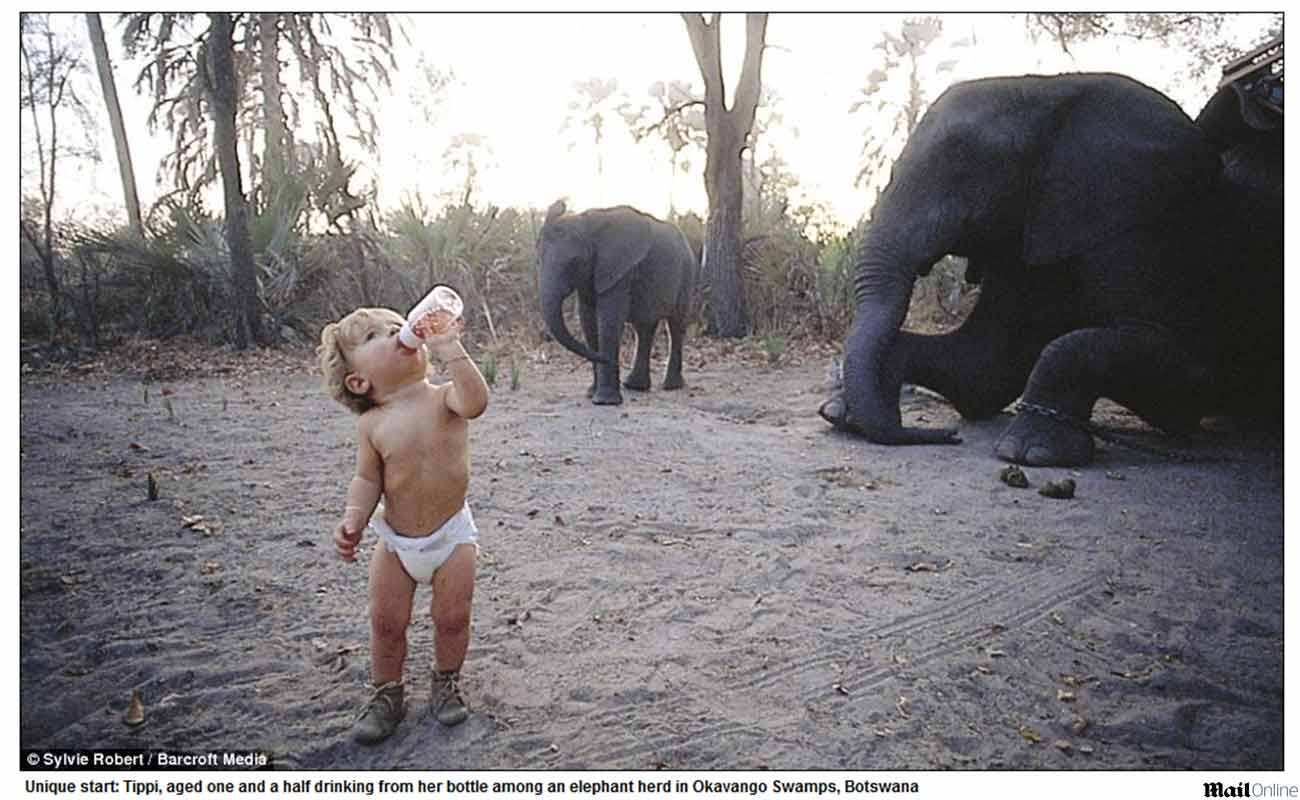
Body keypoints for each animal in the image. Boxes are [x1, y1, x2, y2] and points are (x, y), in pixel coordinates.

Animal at [537, 200, 697, 405]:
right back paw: (635, 386)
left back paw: (670, 386)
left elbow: (609, 320)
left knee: (676, 325)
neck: (588, 225)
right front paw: (591, 394)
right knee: (644, 328)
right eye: (539, 259)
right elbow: (588, 322)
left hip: (687, 274)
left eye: (574, 262)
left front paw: (605, 402)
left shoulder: (620, 270)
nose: (607, 360)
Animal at [818, 71, 1282, 466]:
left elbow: (1186, 371)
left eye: (962, 169)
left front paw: (1031, 454)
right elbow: (983, 365)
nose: (947, 435)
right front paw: (844, 413)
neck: (1049, 91)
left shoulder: (1137, 223)